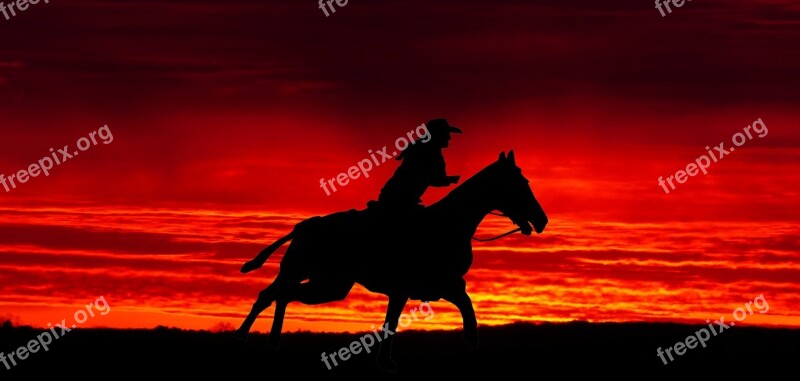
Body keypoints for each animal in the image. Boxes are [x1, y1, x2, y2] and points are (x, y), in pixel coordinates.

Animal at [234, 150, 548, 370]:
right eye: (521, 183)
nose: (542, 220)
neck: (449, 224)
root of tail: (302, 227)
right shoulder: (407, 288)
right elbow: (393, 323)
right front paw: (386, 362)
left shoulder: (441, 285)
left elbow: (463, 304)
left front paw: (471, 342)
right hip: (309, 276)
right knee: (270, 295)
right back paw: (243, 336)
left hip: (327, 283)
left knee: (280, 295)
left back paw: (272, 340)